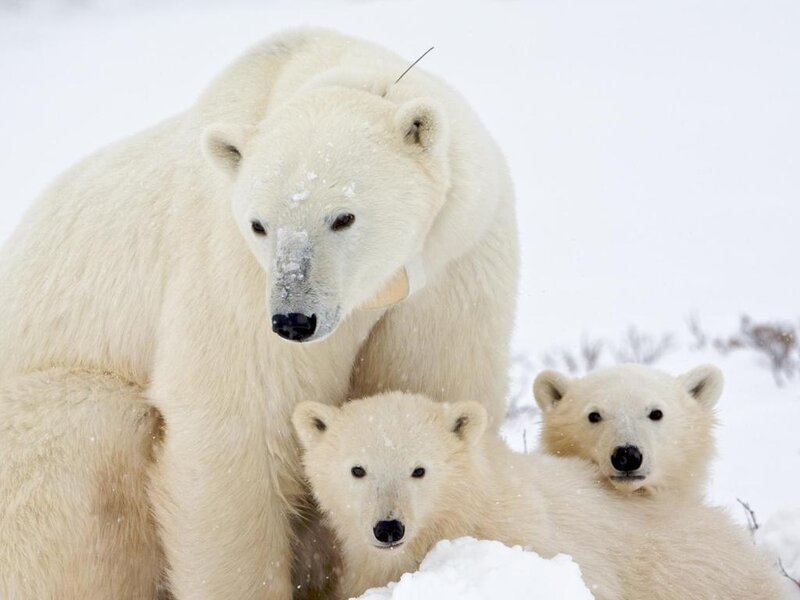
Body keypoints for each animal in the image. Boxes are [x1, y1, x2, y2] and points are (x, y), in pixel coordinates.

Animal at [0, 28, 518, 599]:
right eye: (259, 224)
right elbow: (237, 422)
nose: (294, 320)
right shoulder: (233, 271)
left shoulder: (453, 266)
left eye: (343, 216)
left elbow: (429, 384)